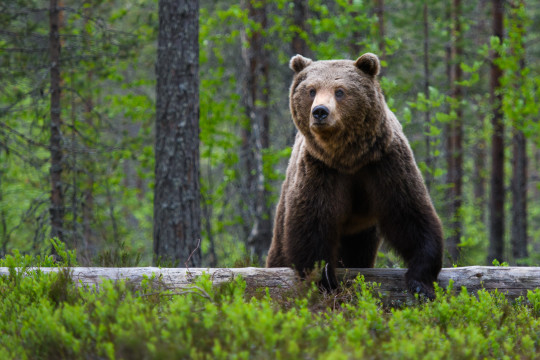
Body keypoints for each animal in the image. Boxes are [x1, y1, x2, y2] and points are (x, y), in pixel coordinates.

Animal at [268, 52, 446, 298]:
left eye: (340, 91)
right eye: (311, 90)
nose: (320, 111)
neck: (348, 157)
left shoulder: (384, 163)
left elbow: (410, 213)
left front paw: (421, 281)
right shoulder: (320, 170)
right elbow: (312, 226)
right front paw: (326, 281)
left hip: (362, 233)